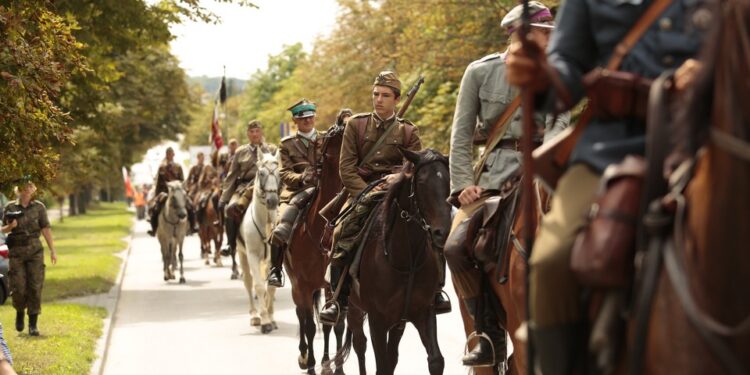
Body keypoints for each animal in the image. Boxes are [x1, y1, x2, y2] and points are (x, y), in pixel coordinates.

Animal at [332, 149, 456, 375]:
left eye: (449, 182)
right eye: (421, 182)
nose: (443, 233)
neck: (406, 260)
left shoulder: (423, 312)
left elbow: (435, 360)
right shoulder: (377, 321)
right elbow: (381, 364)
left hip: (399, 322)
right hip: (354, 307)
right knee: (360, 344)